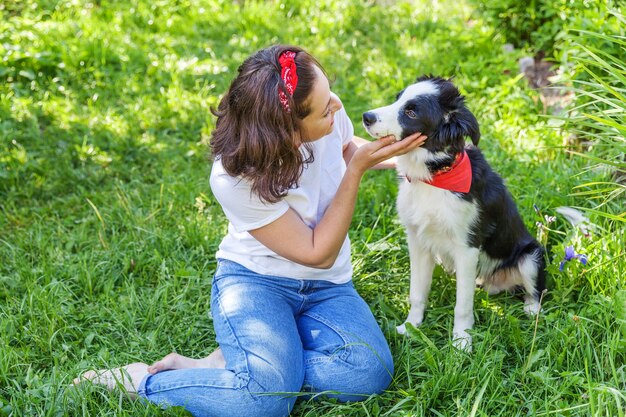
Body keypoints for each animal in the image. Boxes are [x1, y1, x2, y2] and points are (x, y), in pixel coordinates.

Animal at [364, 76, 544, 350]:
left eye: (411, 112)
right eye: (398, 99)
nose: (366, 117)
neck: (434, 178)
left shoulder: (467, 248)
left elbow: (462, 305)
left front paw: (461, 342)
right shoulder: (417, 241)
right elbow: (417, 292)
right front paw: (411, 327)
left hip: (531, 256)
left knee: (536, 291)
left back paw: (531, 311)